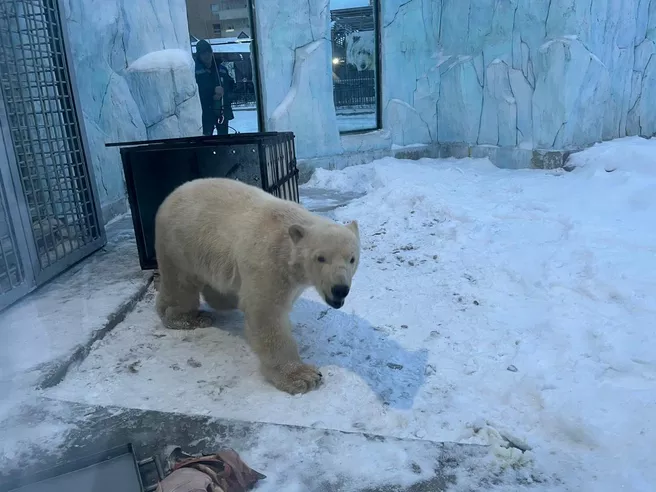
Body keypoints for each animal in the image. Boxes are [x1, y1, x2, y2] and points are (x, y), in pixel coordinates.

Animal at [154, 179, 362, 394]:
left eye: (352, 258)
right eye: (320, 258)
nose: (340, 289)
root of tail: (172, 195)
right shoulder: (268, 264)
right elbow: (267, 314)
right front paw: (302, 377)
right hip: (180, 244)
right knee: (180, 284)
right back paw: (189, 317)